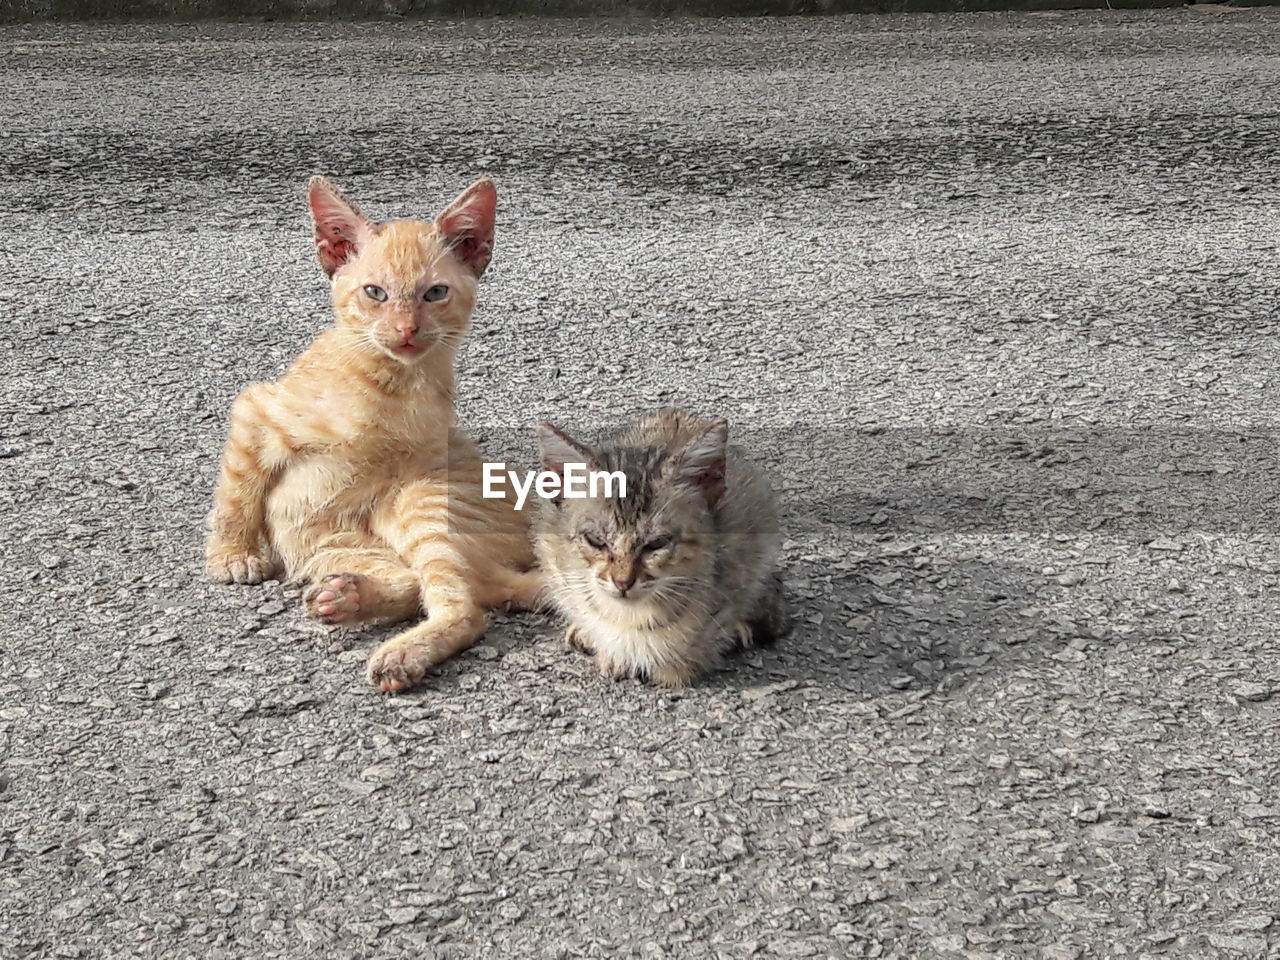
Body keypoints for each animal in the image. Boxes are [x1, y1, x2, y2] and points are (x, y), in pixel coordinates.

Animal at [207, 176, 537, 696]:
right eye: (375, 293)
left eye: (435, 293)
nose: (405, 331)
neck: (392, 382)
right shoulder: (257, 411)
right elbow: (237, 496)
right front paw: (232, 555)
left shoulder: (423, 460)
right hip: (336, 544)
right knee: (428, 585)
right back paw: (348, 598)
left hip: (417, 502)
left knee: (463, 606)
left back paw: (399, 652)